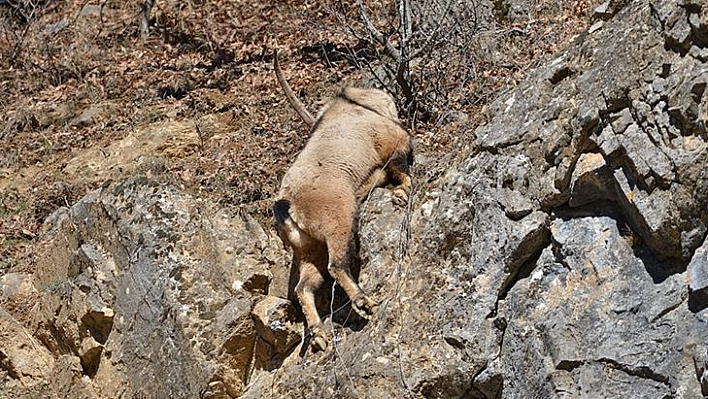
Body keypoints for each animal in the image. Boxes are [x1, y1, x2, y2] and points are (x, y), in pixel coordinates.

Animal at [272, 51, 414, 352]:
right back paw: (365, 302)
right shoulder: (393, 143)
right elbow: (401, 171)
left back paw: (319, 335)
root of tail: (287, 206)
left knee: (304, 287)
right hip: (338, 221)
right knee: (336, 265)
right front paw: (401, 194)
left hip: (307, 249)